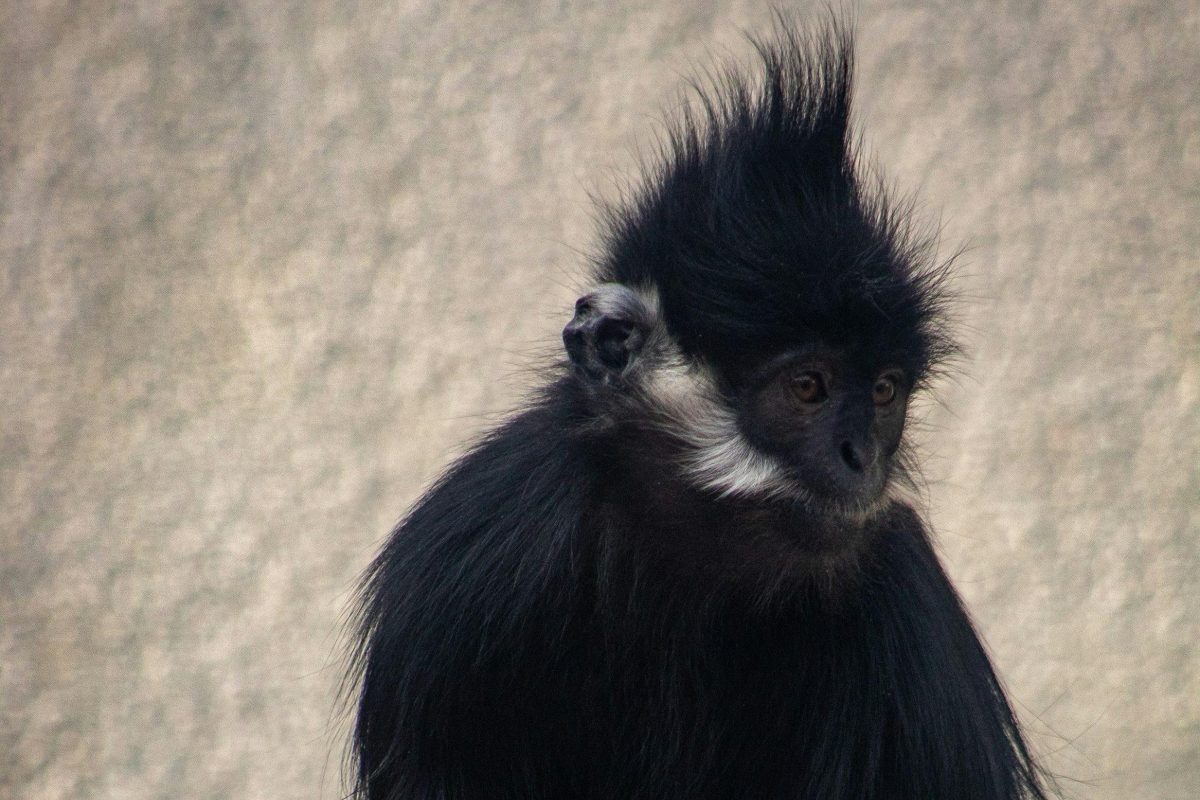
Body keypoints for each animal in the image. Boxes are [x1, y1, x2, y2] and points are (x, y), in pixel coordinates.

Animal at [348, 19, 1053, 800]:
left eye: (883, 392)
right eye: (808, 387)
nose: (863, 457)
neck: (687, 551)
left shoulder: (899, 577)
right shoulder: (473, 563)